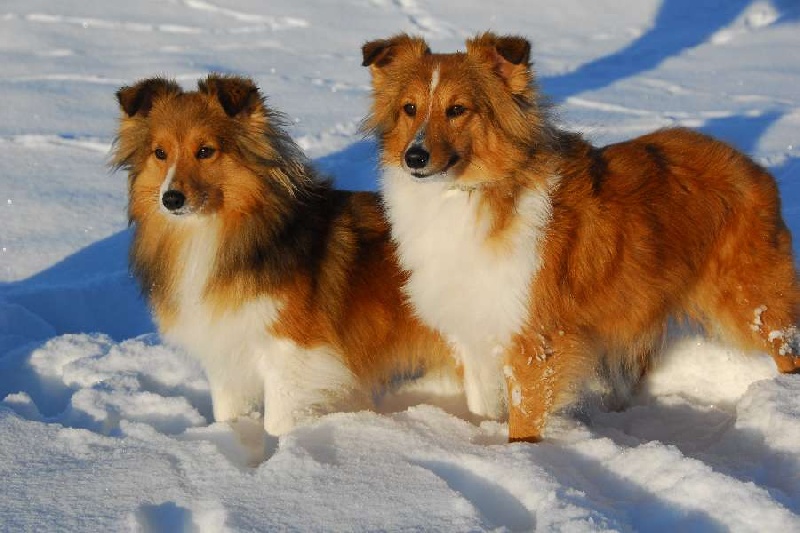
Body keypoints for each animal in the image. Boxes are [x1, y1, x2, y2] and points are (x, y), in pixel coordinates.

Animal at [111, 72, 456, 434]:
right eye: (159, 153)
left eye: (205, 151)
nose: (171, 199)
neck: (215, 234)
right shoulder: (225, 354)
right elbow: (228, 414)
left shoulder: (290, 356)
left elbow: (277, 422)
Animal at [362, 32, 800, 440]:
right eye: (409, 108)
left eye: (457, 110)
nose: (414, 157)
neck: (467, 192)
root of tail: (750, 165)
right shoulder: (471, 326)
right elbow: (482, 402)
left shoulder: (534, 338)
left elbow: (524, 418)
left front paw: (521, 455)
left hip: (749, 298)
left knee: (783, 346)